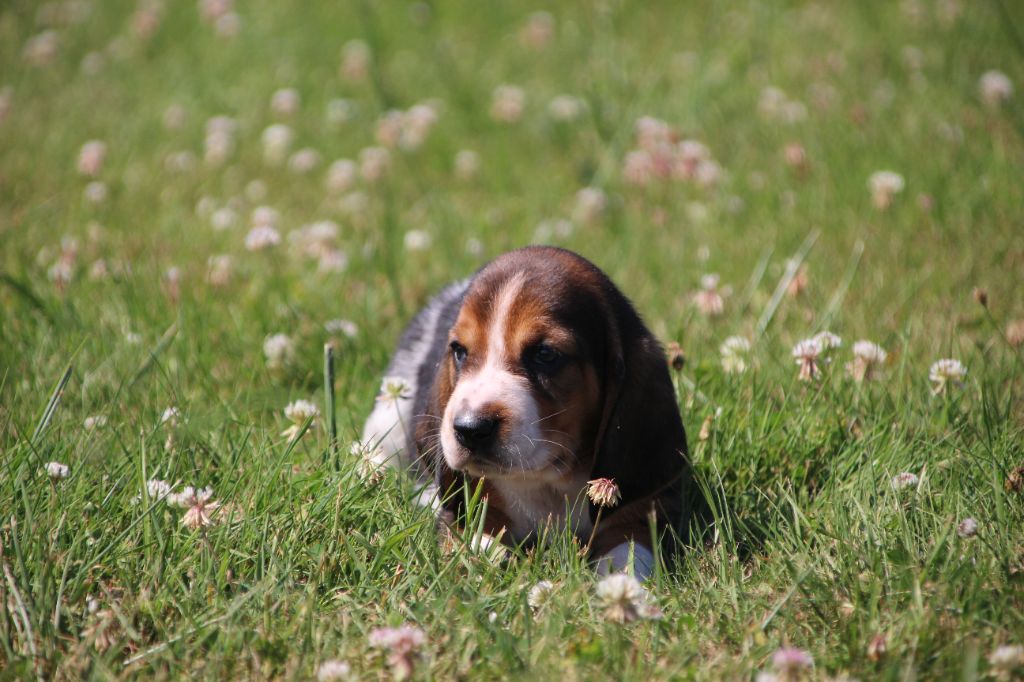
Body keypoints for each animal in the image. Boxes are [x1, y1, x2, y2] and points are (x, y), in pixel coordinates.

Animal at [360, 246, 706, 577]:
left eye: (545, 354)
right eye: (459, 351)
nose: (469, 429)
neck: (547, 479)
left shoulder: (643, 512)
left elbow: (629, 552)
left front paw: (620, 584)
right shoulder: (463, 509)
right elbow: (478, 539)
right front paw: (484, 564)